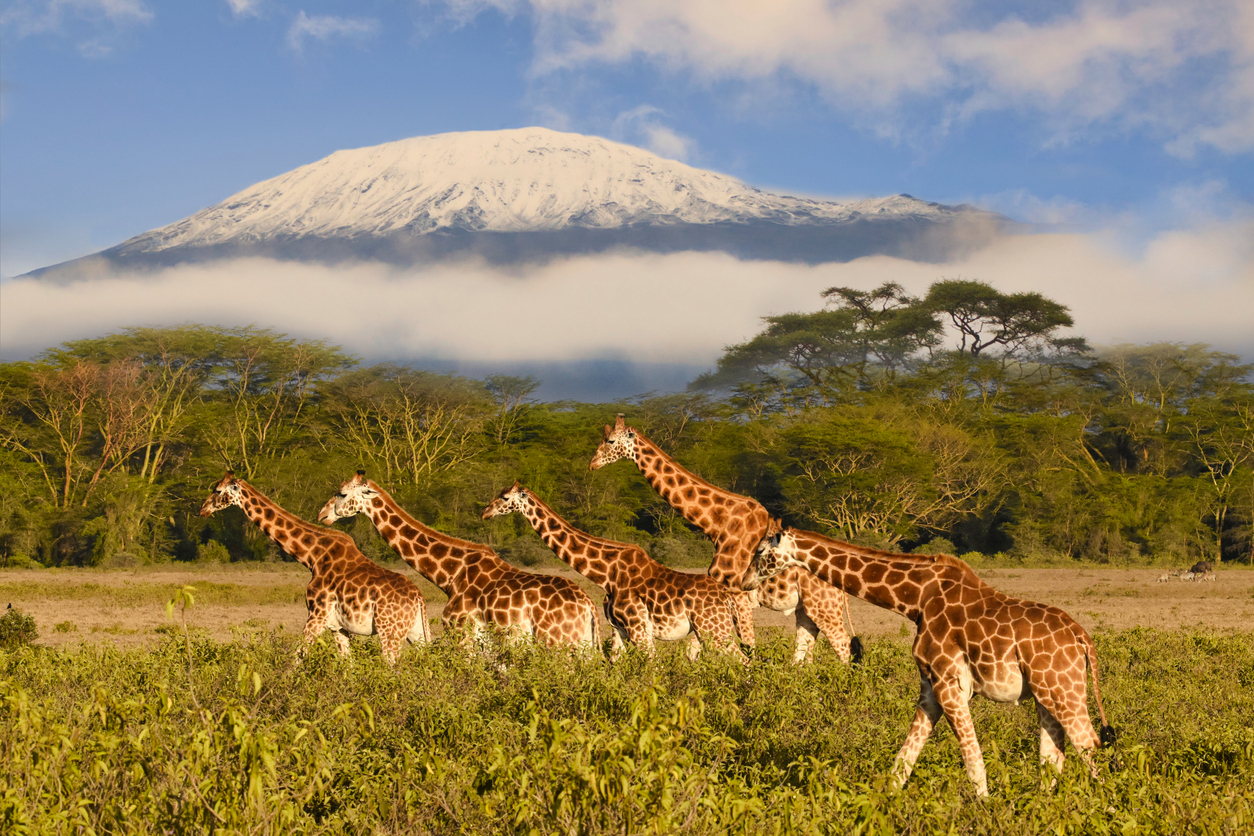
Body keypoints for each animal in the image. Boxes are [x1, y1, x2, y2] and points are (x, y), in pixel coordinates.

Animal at [196, 473, 431, 661]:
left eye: (217, 490)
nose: (202, 510)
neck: (312, 557)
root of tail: (419, 598)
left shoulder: (317, 615)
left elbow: (296, 657)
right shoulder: (338, 627)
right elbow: (347, 665)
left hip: (389, 631)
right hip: (415, 632)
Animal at [321, 471, 599, 646]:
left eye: (342, 494)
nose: (322, 515)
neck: (450, 574)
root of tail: (589, 606)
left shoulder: (460, 632)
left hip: (554, 641)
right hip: (582, 644)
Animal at [481, 483, 747, 666]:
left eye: (505, 497)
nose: (485, 512)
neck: (606, 574)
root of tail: (727, 596)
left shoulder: (638, 628)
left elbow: (652, 668)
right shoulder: (618, 629)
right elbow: (616, 665)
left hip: (714, 629)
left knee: (743, 661)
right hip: (711, 630)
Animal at [586, 416, 862, 661]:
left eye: (610, 441)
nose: (592, 464)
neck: (717, 524)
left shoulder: (736, 594)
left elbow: (745, 646)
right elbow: (696, 652)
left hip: (823, 605)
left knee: (843, 647)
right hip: (807, 609)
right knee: (808, 649)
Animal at [742, 528, 1118, 797]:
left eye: (760, 551)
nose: (743, 581)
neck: (916, 599)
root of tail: (1083, 638)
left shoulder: (950, 683)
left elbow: (973, 761)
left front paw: (985, 809)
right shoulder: (929, 687)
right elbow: (903, 760)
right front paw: (882, 806)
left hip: (1062, 688)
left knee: (1089, 746)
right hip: (1046, 693)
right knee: (1054, 755)